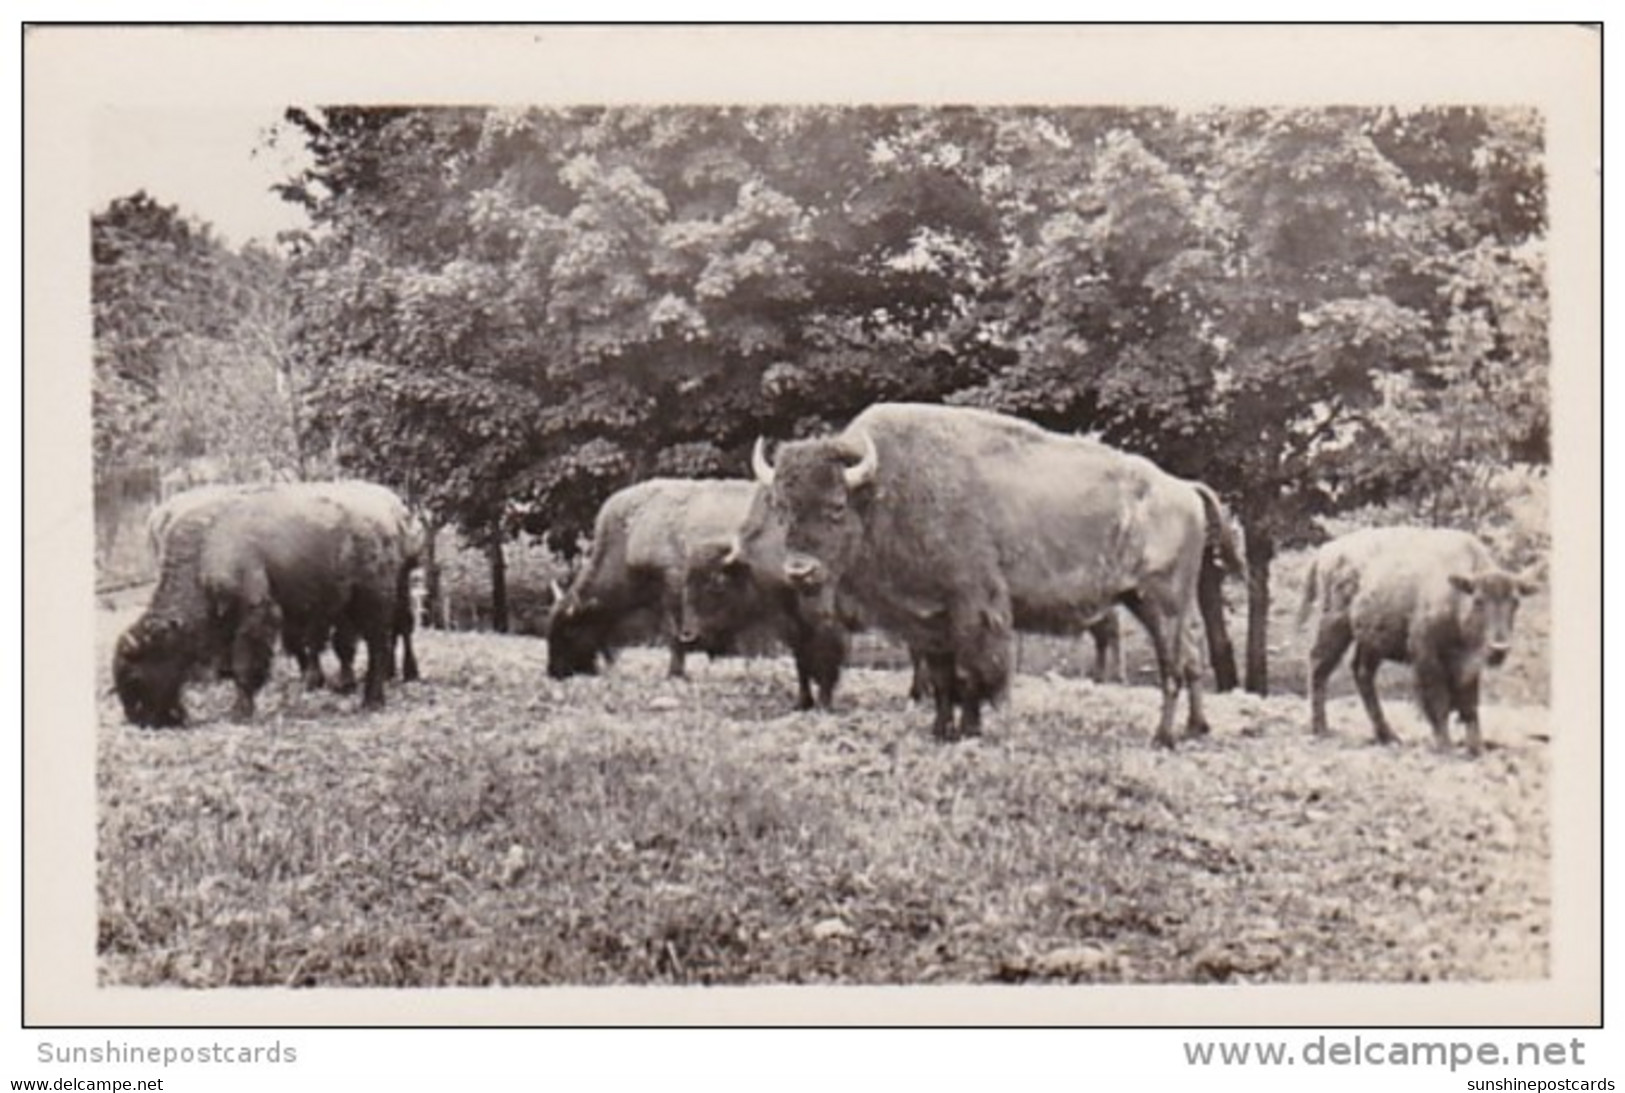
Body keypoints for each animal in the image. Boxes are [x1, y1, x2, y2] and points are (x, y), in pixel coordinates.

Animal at [112, 487, 409, 724]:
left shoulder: (254, 615)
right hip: (347, 606)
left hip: (371, 601)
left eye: (133, 676)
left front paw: (240, 711)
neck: (206, 549)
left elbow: (244, 665)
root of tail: (387, 518)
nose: (139, 720)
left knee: (378, 646)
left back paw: (372, 701)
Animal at [744, 404, 1235, 747]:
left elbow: (975, 674)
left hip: (1161, 601)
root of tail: (1182, 487)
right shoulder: (928, 618)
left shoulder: (974, 608)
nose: (800, 571)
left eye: (836, 506)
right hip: (1159, 602)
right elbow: (944, 678)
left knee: (1172, 667)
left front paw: (976, 728)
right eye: (783, 509)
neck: (885, 489)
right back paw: (1197, 728)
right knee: (1192, 659)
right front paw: (943, 730)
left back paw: (1163, 737)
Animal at [1293, 529, 1534, 760]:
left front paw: (1477, 749)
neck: (1455, 596)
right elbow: (1439, 702)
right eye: (1478, 601)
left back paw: (1388, 736)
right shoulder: (1426, 656)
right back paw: (1321, 729)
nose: (1499, 649)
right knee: (1319, 666)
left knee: (1362, 673)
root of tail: (1327, 550)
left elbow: (1470, 706)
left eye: (1515, 602)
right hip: (1335, 624)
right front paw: (1445, 747)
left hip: (1371, 641)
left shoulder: (1469, 666)